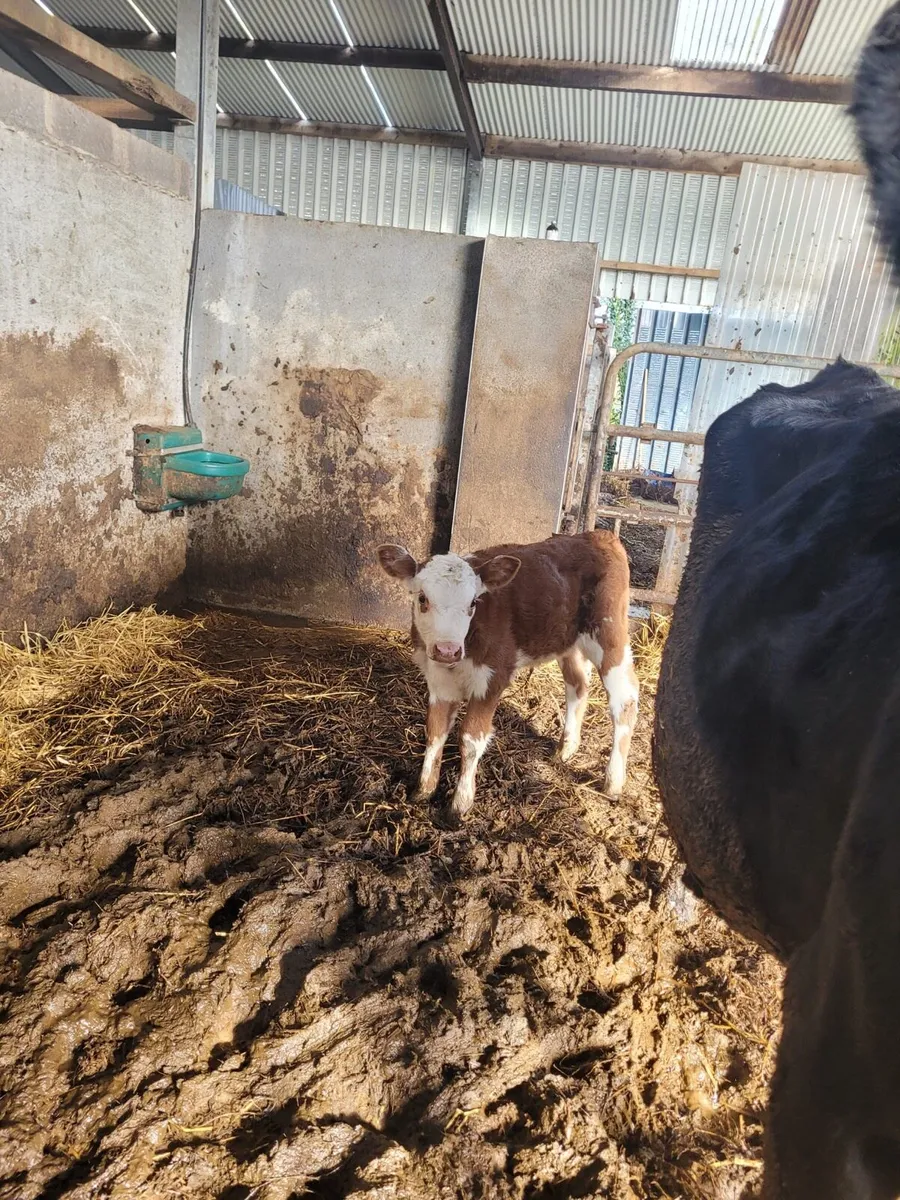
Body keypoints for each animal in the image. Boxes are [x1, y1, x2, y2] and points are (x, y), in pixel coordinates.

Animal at [377, 531, 639, 817]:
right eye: (422, 598)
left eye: (473, 603)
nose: (447, 650)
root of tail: (598, 535)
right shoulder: (438, 680)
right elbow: (435, 732)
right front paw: (423, 791)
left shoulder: (492, 678)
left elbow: (471, 739)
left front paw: (460, 804)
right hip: (568, 642)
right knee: (578, 685)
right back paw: (566, 749)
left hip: (609, 634)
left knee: (624, 701)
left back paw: (613, 782)